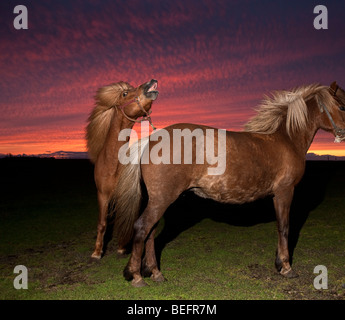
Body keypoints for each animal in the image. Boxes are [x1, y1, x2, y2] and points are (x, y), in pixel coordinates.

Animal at [85, 79, 158, 260]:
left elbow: (125, 219)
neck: (113, 163)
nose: (151, 82)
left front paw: (122, 248)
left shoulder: (125, 194)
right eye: (125, 94)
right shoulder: (102, 195)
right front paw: (97, 252)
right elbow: (102, 224)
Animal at [111, 81, 344, 286]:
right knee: (142, 228)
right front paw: (286, 267)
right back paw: (136, 276)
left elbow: (281, 227)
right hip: (162, 199)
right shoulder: (285, 192)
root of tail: (151, 140)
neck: (286, 139)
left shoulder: (279, 195)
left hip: (159, 200)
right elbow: (284, 227)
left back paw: (155, 273)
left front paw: (280, 263)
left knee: (150, 232)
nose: (343, 133)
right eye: (342, 105)